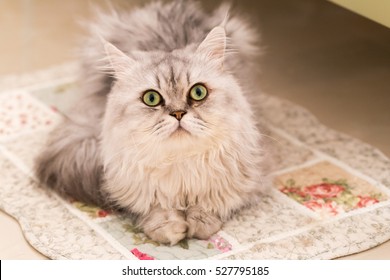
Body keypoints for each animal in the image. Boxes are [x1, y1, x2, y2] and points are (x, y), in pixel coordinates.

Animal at [35, 0, 266, 245]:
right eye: (152, 98)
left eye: (198, 92)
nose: (178, 113)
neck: (180, 164)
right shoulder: (134, 186)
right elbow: (156, 207)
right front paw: (169, 228)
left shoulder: (248, 179)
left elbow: (210, 203)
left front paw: (199, 222)